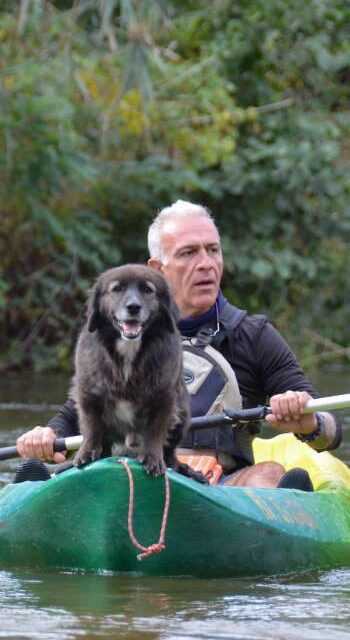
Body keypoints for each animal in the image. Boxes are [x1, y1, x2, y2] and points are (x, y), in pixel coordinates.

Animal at [70, 262, 197, 478]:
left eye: (147, 290)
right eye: (117, 289)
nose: (133, 307)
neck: (128, 352)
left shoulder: (164, 398)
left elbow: (155, 432)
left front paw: (153, 459)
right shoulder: (88, 393)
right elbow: (92, 427)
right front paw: (86, 452)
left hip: (183, 411)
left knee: (170, 452)